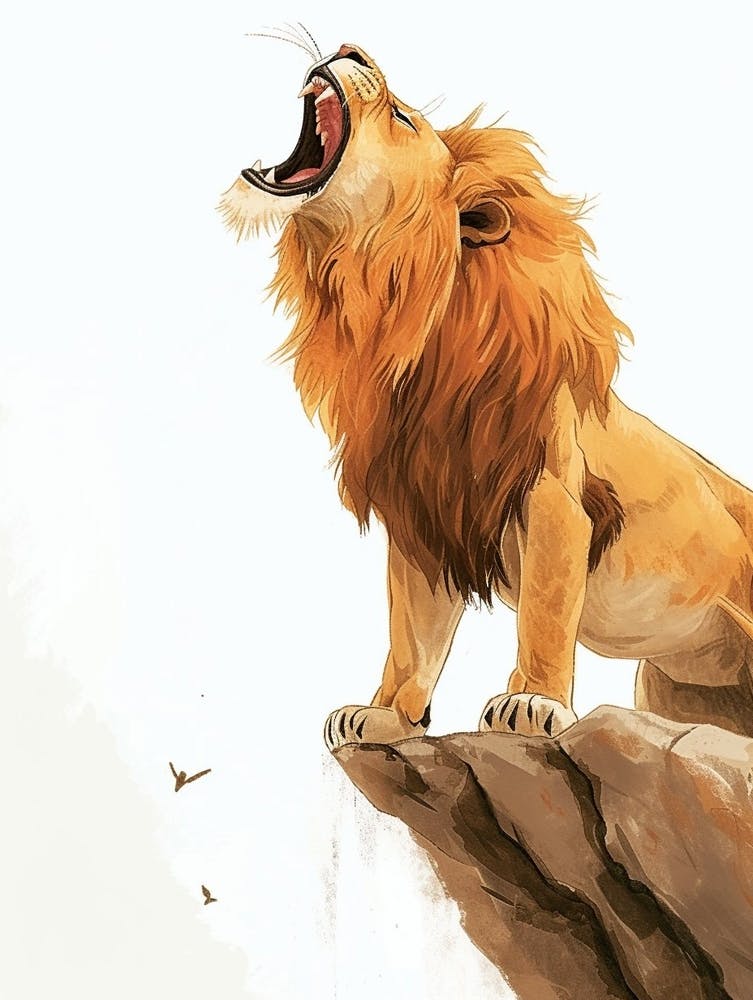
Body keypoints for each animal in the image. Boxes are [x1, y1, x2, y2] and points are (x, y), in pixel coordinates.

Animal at [221, 43, 753, 749]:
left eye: (401, 116)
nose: (349, 49)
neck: (409, 324)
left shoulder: (552, 493)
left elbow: (545, 612)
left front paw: (533, 701)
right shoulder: (423, 510)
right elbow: (411, 635)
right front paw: (387, 716)